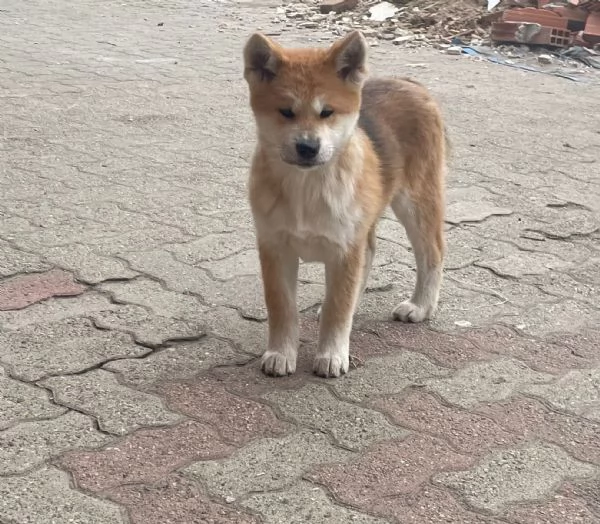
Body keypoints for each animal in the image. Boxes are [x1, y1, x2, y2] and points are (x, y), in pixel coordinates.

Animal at [243, 30, 446, 378]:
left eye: (327, 112)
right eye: (286, 111)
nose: (308, 147)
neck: (307, 188)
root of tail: (410, 83)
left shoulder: (344, 248)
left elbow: (338, 307)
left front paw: (332, 354)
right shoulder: (275, 247)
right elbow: (281, 307)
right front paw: (281, 353)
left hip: (417, 202)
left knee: (432, 254)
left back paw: (420, 306)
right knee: (372, 254)